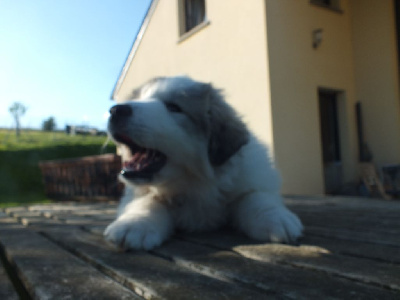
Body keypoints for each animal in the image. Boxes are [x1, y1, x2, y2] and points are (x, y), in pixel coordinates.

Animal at [104, 76, 302, 250]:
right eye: (140, 99)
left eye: (173, 107)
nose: (116, 110)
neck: (194, 184)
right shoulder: (139, 192)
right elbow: (148, 200)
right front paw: (133, 225)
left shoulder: (254, 178)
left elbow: (256, 196)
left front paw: (277, 218)